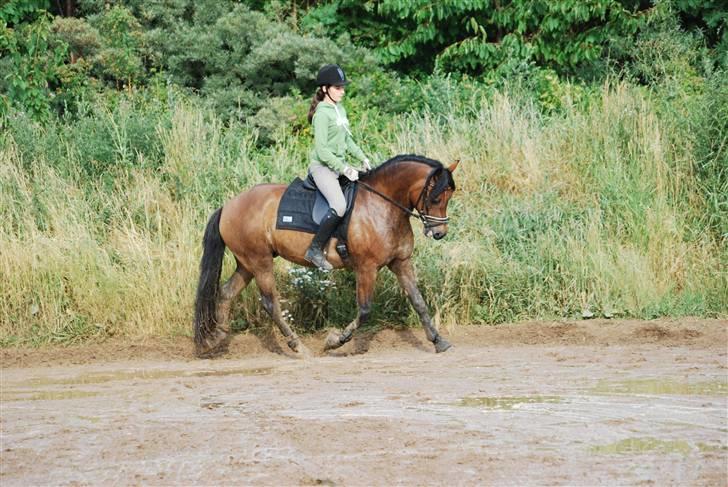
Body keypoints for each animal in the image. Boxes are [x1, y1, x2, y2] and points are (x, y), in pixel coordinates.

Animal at [192, 153, 456, 358]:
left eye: (449, 196)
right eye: (435, 197)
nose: (439, 233)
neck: (382, 205)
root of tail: (228, 206)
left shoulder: (400, 262)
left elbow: (418, 301)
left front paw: (439, 341)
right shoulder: (367, 267)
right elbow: (365, 310)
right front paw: (335, 341)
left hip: (247, 264)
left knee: (226, 292)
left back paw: (215, 338)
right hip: (260, 262)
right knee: (270, 303)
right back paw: (298, 347)